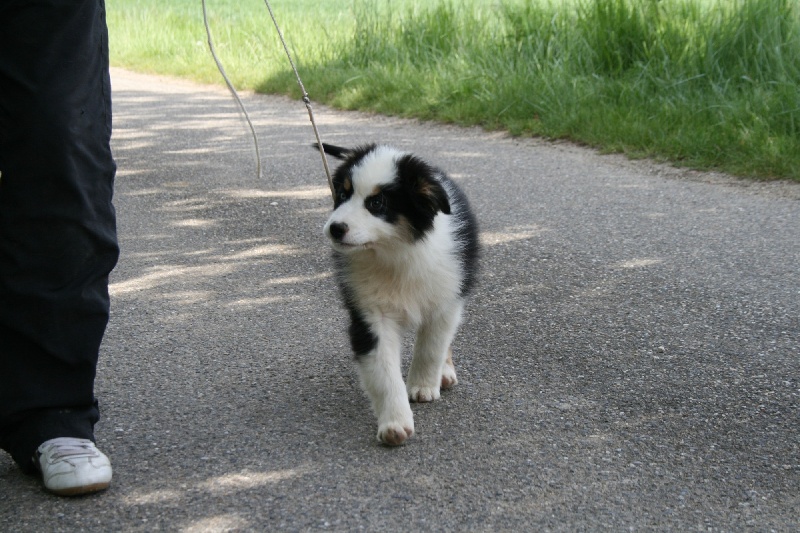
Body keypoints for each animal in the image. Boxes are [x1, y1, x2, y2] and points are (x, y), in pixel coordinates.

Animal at [318, 143, 479, 445]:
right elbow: (383, 371)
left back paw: (444, 373)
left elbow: (432, 347)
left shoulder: (445, 302)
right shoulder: (370, 314)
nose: (335, 228)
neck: (395, 253)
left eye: (377, 203)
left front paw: (423, 386)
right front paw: (395, 424)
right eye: (343, 195)